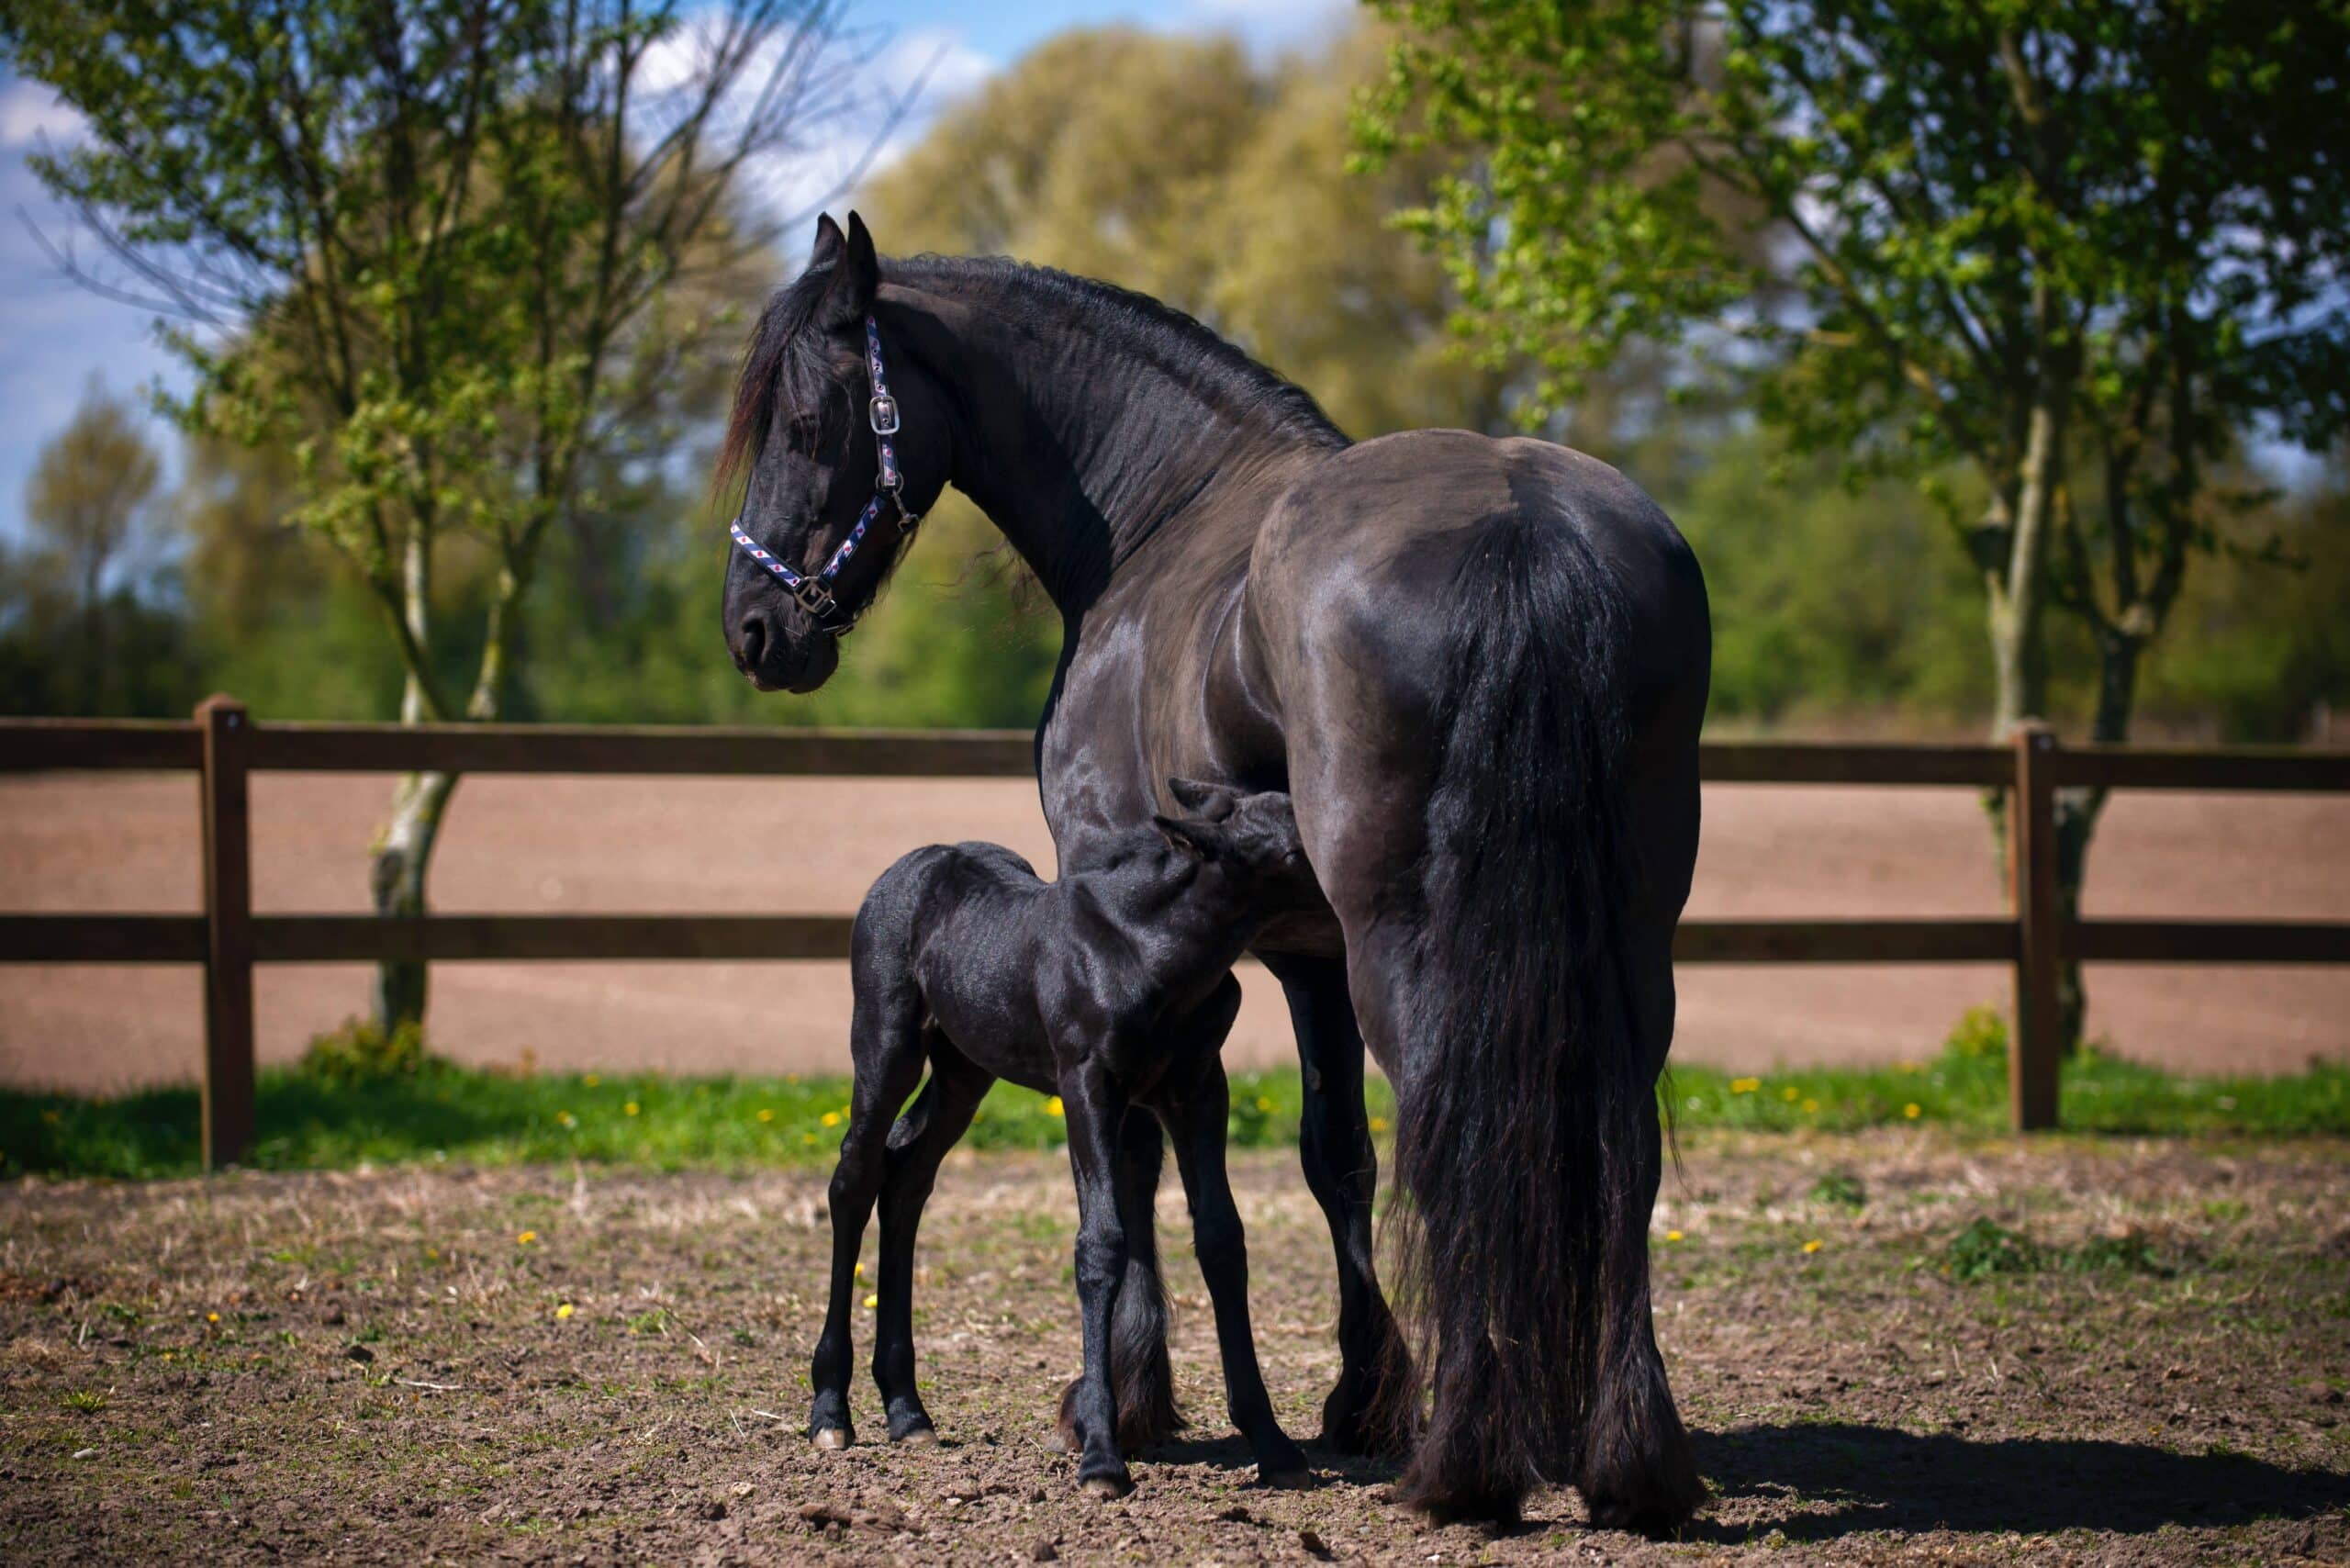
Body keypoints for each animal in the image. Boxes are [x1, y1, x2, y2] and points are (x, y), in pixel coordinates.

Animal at [808, 780, 1325, 1495]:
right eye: (1295, 846)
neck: (1149, 949)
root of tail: (908, 867)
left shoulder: (1199, 1089)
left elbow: (1223, 1239)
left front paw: (1272, 1442)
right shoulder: (1087, 1084)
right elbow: (1101, 1244)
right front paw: (1101, 1456)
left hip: (964, 1068)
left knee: (907, 1175)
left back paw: (908, 1410)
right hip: (886, 1043)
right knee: (854, 1179)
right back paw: (831, 1411)